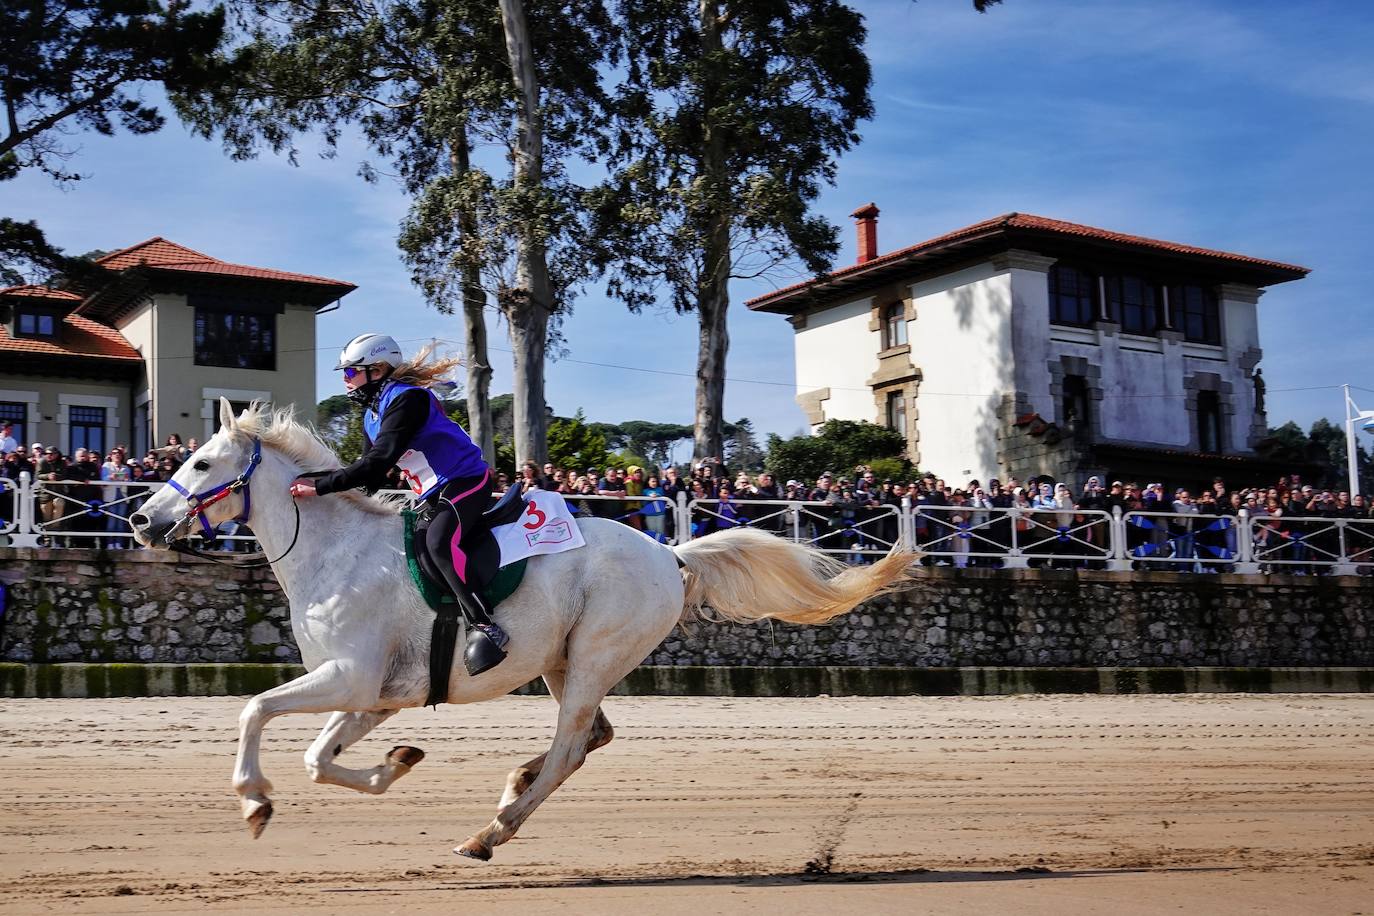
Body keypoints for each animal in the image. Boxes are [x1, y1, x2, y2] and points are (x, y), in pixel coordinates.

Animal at [129, 398, 912, 862]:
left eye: (201, 462)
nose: (138, 520)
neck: (334, 551)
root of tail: (670, 552)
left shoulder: (348, 678)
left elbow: (256, 710)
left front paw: (253, 800)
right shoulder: (371, 694)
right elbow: (319, 759)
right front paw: (395, 764)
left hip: (593, 658)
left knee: (571, 748)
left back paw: (490, 832)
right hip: (562, 664)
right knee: (592, 738)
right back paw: (510, 788)